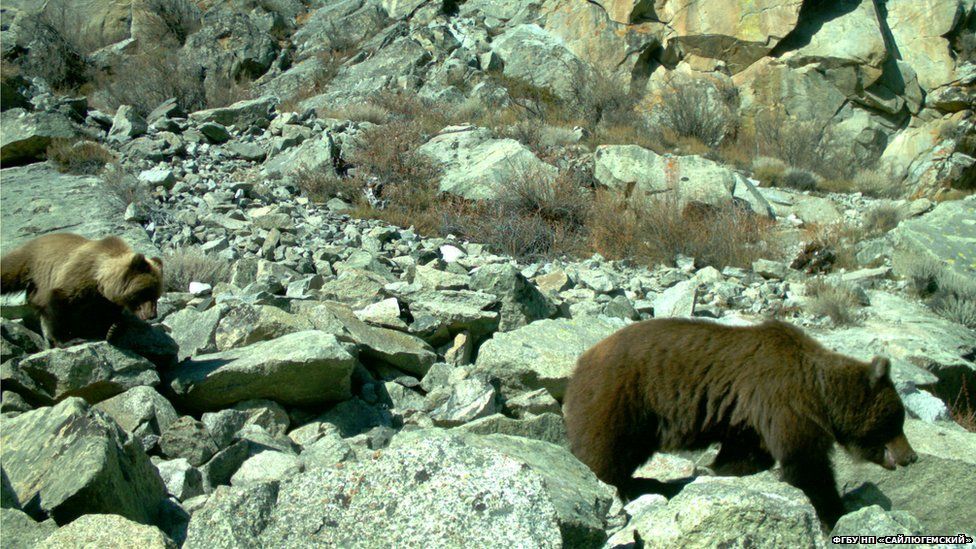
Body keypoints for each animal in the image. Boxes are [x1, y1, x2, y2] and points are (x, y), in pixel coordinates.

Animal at [0, 232, 163, 346]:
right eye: (145, 293)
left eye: (157, 295)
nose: (152, 315)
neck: (100, 281)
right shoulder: (76, 279)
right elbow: (57, 307)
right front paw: (67, 339)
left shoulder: (103, 301)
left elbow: (102, 316)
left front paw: (112, 329)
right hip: (29, 263)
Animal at [560, 316, 920, 528]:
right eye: (897, 421)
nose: (911, 456)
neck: (820, 392)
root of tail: (582, 360)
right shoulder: (782, 398)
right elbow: (805, 462)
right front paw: (835, 512)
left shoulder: (748, 418)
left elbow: (745, 456)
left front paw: (717, 472)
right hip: (623, 398)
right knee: (601, 451)